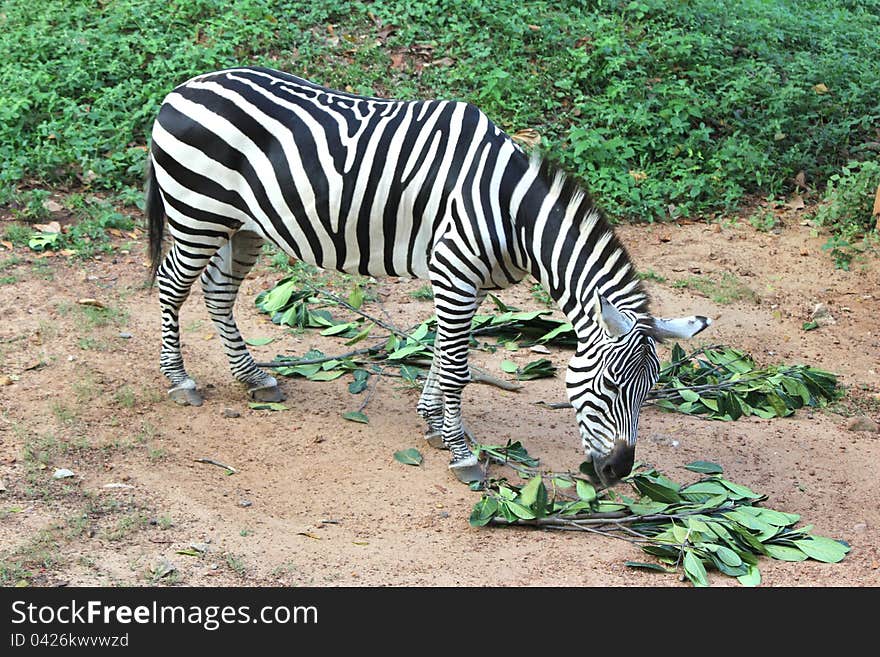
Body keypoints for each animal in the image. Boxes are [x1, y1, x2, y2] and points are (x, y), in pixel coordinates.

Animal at [143, 66, 708, 486]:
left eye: (651, 390)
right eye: (609, 386)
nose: (616, 472)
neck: (512, 213)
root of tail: (181, 87)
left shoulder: (464, 280)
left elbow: (444, 351)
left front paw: (434, 423)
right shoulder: (455, 270)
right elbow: (457, 365)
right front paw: (462, 454)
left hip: (241, 224)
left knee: (218, 291)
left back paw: (254, 378)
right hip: (196, 212)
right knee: (172, 284)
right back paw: (180, 381)